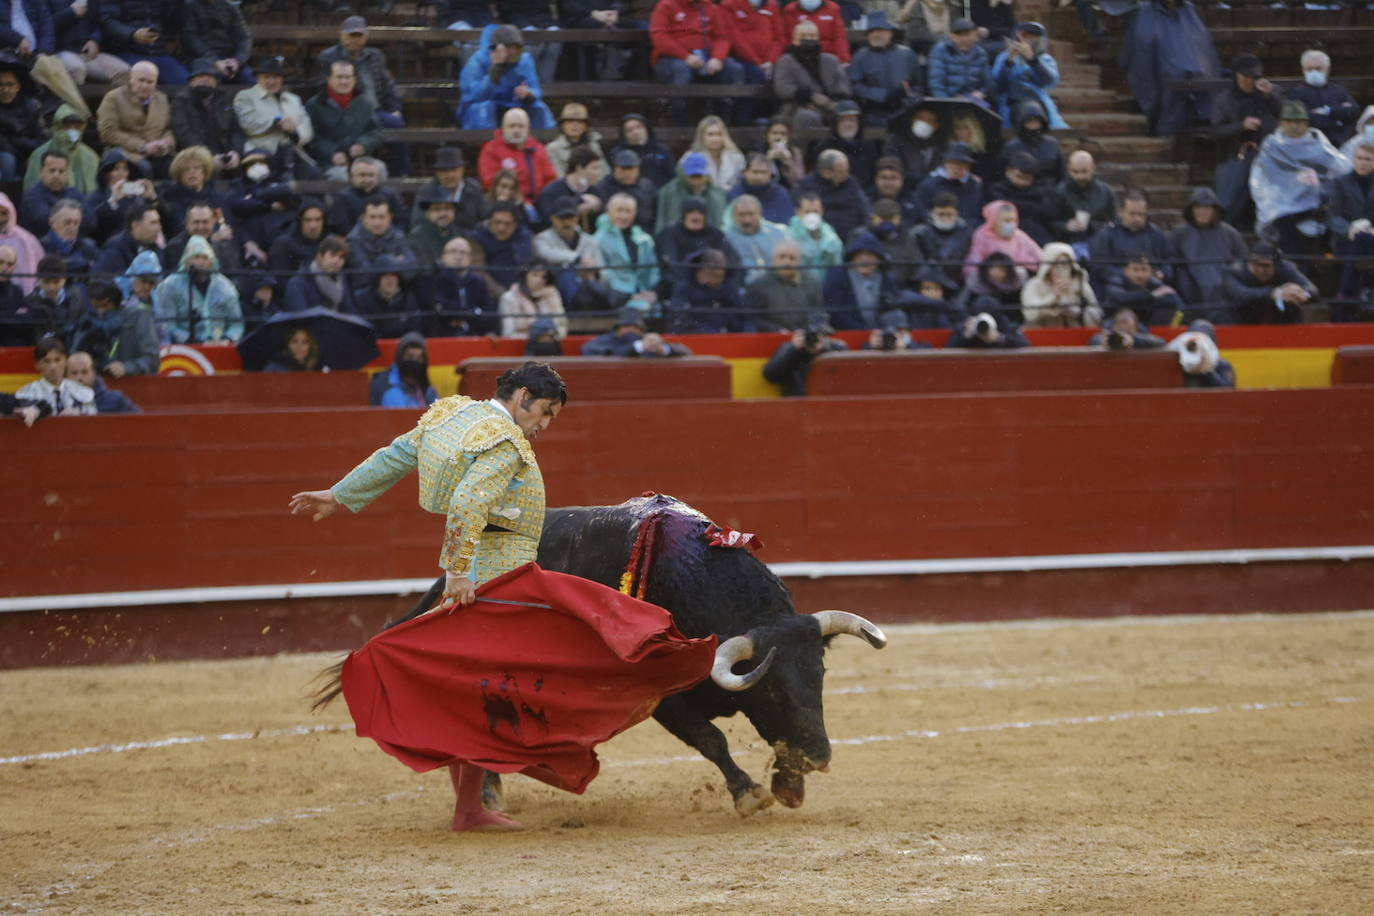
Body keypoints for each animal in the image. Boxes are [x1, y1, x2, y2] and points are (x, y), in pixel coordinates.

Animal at [316, 494, 884, 818]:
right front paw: (749, 793)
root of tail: (452, 581)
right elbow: (712, 740)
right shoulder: (665, 699)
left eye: (819, 676)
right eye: (770, 687)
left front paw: (788, 783)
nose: (819, 756)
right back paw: (487, 796)